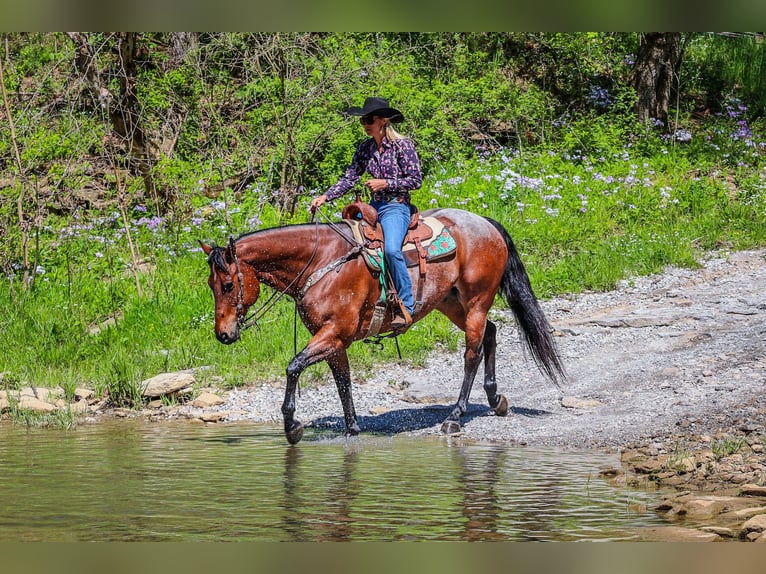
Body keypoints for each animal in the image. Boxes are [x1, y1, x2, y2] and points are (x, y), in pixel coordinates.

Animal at [201, 207, 568, 446]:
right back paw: (495, 399)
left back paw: (454, 416)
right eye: (210, 285)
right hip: (451, 303)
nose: (224, 334)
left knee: (472, 353)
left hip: (476, 300)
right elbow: (343, 383)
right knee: (490, 333)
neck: (322, 262)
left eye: (229, 285)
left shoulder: (332, 333)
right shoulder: (335, 341)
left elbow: (293, 366)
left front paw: (292, 425)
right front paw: (351, 430)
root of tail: (485, 223)